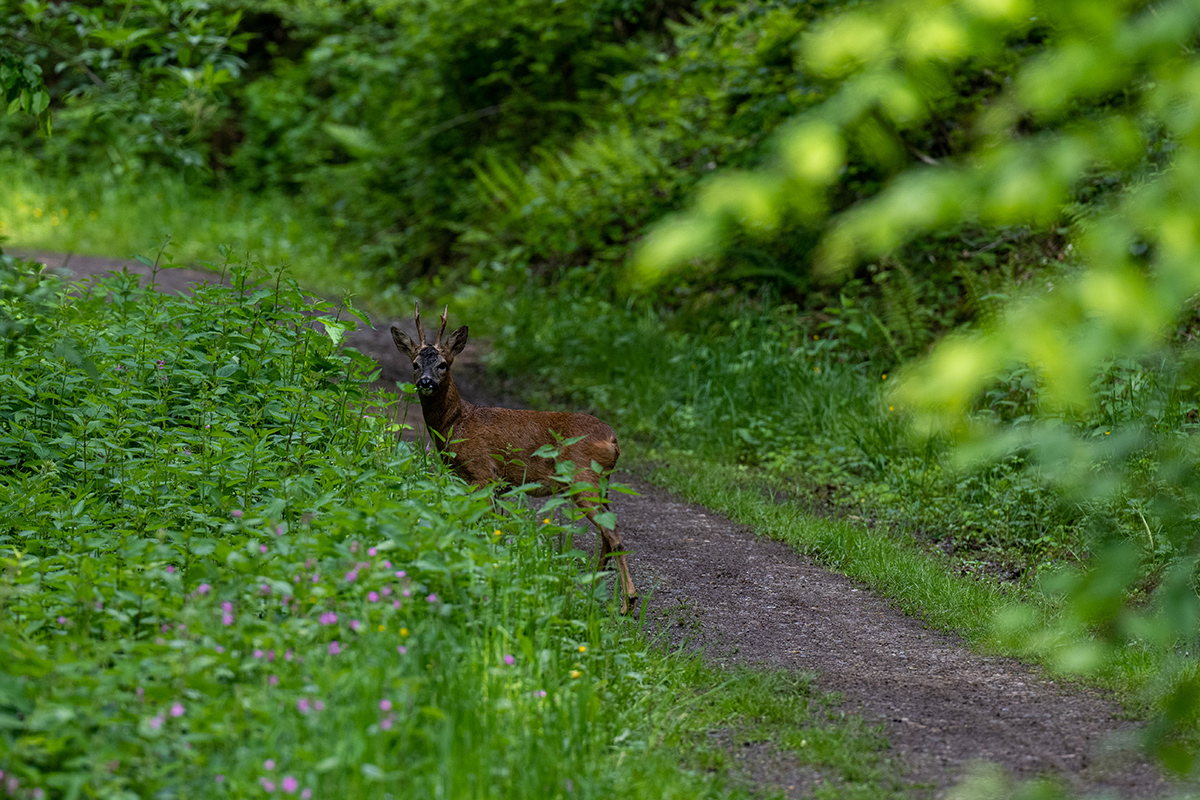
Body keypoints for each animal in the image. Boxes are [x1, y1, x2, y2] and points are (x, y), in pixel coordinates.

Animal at [391, 303, 638, 614]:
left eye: (443, 364)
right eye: (414, 364)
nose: (426, 382)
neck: (456, 423)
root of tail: (613, 440)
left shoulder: (483, 472)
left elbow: (478, 522)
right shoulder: (495, 483)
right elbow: (492, 525)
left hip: (583, 477)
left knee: (613, 531)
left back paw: (628, 602)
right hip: (601, 481)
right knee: (607, 530)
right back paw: (594, 590)